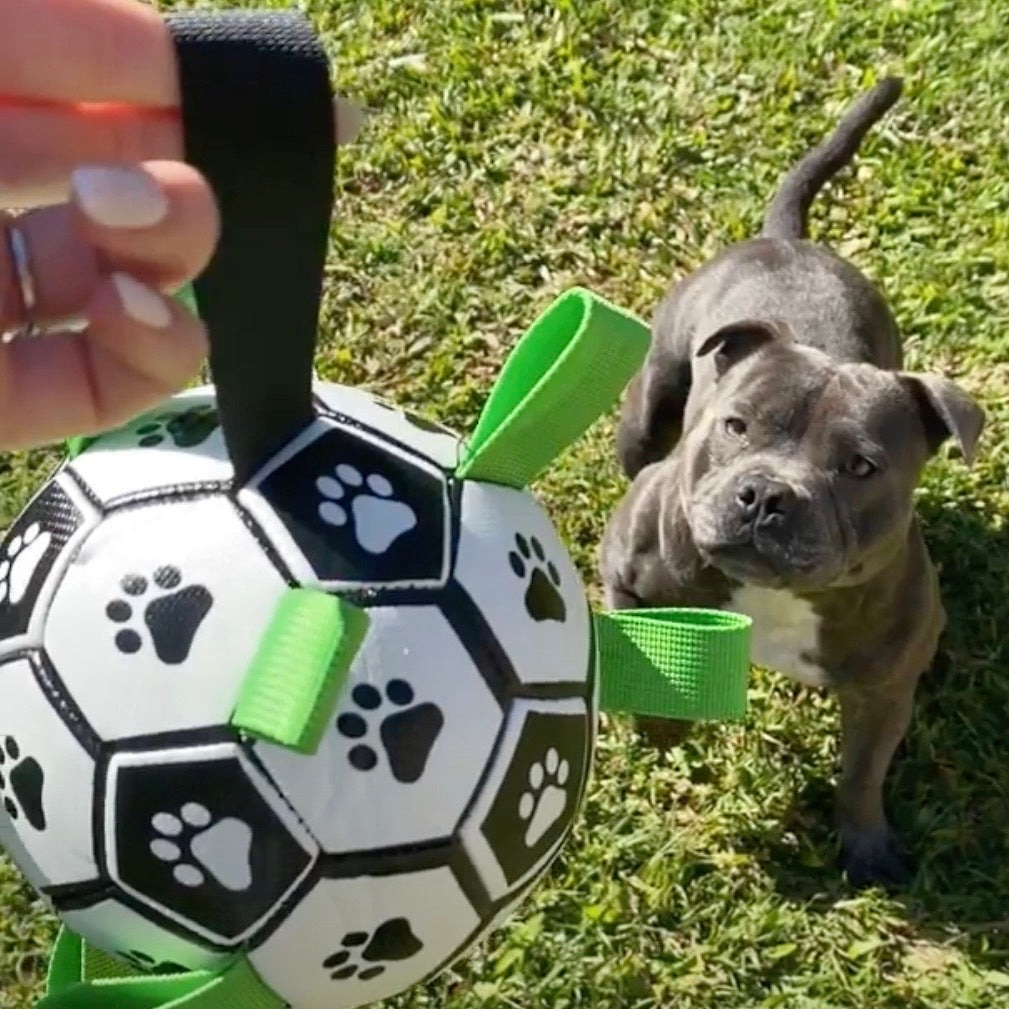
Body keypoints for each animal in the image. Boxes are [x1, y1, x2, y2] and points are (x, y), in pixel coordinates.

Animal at [601, 74, 980, 887]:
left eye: (861, 465)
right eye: (736, 425)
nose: (766, 494)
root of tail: (788, 239)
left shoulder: (882, 689)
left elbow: (863, 773)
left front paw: (866, 845)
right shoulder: (624, 571)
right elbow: (646, 658)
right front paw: (661, 728)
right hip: (648, 403)